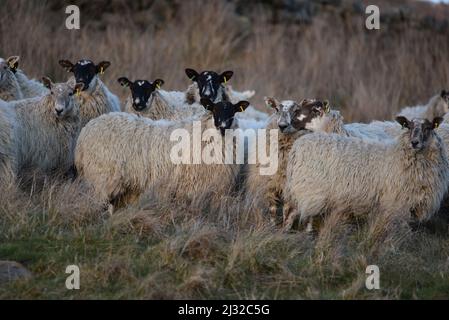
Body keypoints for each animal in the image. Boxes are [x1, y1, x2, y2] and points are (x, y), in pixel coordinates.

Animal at [73, 96, 248, 209]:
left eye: (233, 112)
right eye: (214, 110)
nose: (223, 126)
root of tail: (85, 133)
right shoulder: (192, 187)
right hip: (100, 179)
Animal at [284, 116, 448, 231]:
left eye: (428, 127)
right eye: (409, 126)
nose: (414, 142)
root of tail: (297, 147)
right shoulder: (398, 204)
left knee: (290, 211)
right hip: (310, 190)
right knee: (302, 214)